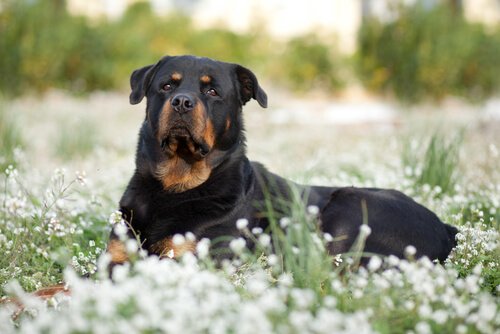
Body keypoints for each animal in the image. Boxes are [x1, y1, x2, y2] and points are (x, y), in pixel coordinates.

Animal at [107, 54, 458, 268]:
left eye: (212, 92)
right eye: (166, 85)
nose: (181, 102)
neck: (176, 187)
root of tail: (447, 228)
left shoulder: (191, 258)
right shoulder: (117, 256)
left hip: (350, 208)